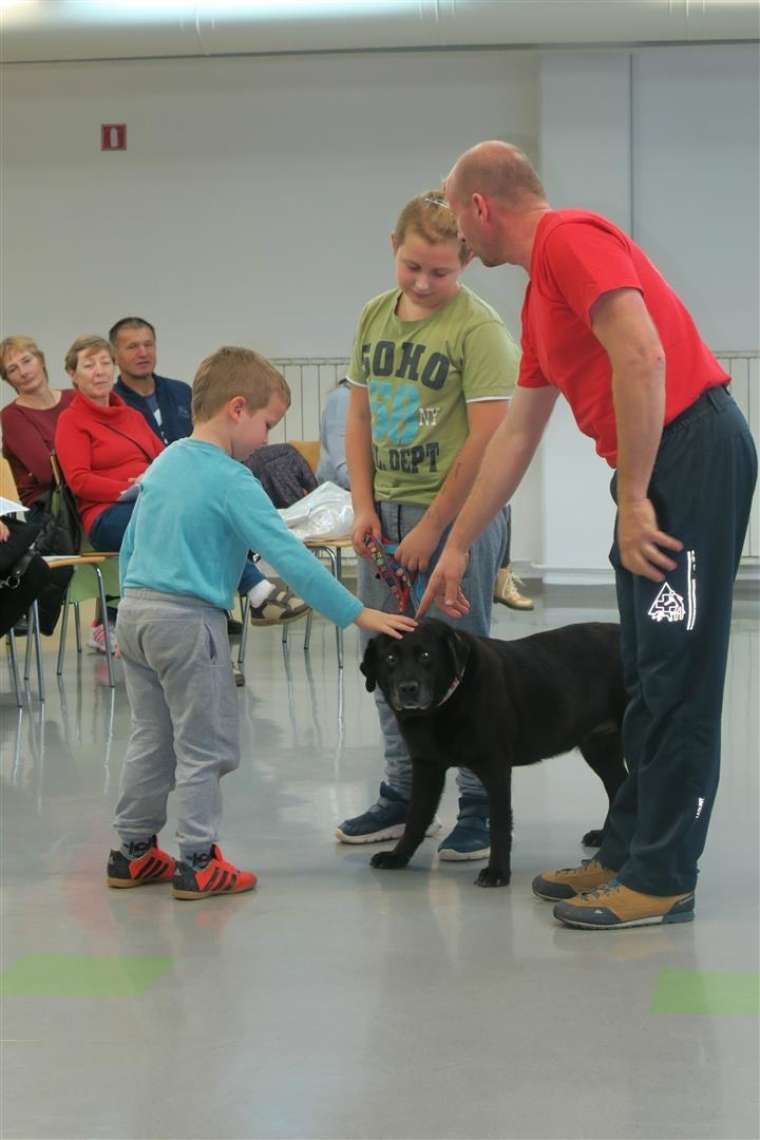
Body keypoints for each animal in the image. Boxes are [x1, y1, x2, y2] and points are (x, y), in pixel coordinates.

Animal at [362, 620, 628, 884]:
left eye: (426, 655)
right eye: (390, 659)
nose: (408, 689)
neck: (444, 705)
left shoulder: (495, 767)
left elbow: (500, 824)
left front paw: (497, 872)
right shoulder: (427, 765)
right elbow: (416, 816)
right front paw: (398, 856)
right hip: (599, 748)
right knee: (618, 786)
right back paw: (606, 837)